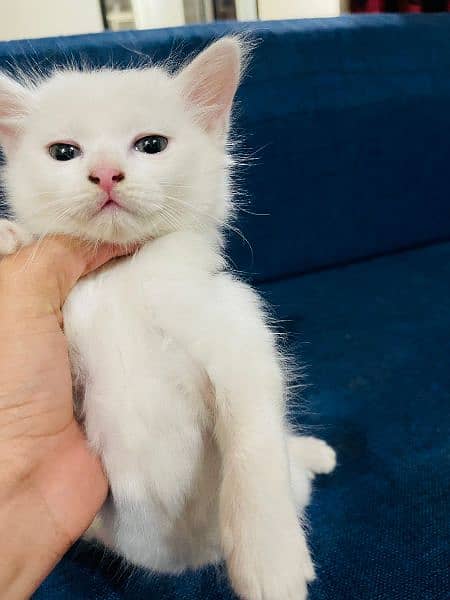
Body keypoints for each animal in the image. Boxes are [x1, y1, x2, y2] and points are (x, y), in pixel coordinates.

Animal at [0, 38, 334, 600]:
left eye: (151, 145)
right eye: (64, 152)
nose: (106, 173)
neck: (123, 277)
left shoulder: (237, 331)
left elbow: (255, 443)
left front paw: (269, 558)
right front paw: (9, 235)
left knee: (289, 460)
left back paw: (311, 456)